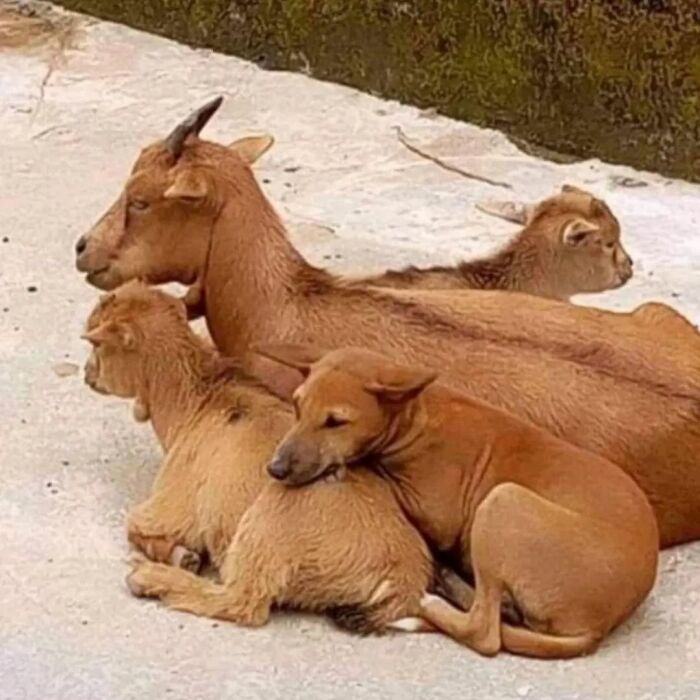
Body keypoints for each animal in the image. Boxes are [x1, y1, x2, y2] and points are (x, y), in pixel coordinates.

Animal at [258, 344, 660, 656]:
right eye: (297, 407)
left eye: (336, 421)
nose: (275, 469)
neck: (413, 419)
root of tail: (598, 628)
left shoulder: (439, 515)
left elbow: (372, 470)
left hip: (501, 502)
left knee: (484, 633)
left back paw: (432, 599)